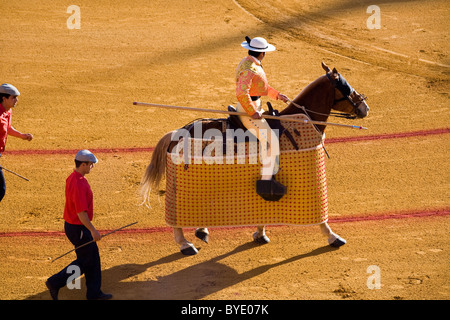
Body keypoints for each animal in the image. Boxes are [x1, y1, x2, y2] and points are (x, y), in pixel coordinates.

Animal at [141, 63, 370, 255]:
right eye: (345, 86)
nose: (364, 108)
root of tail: (177, 133)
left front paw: (260, 233)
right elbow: (321, 219)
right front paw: (333, 237)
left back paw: (201, 231)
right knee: (176, 214)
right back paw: (185, 244)